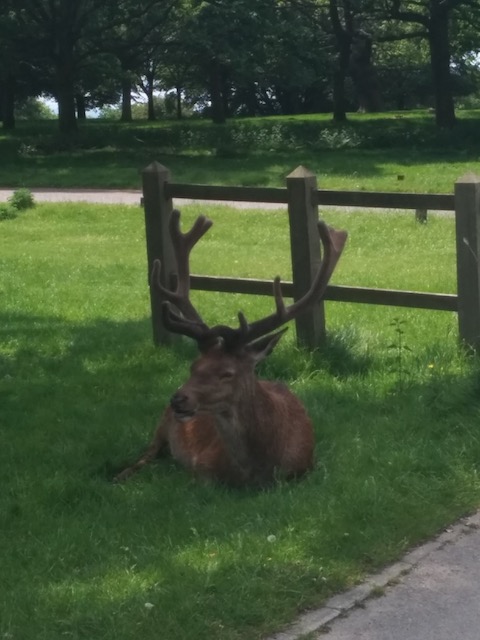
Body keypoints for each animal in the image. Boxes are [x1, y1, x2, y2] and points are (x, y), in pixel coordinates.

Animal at [115, 208, 348, 488]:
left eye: (227, 373)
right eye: (193, 366)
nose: (178, 399)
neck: (257, 471)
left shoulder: (306, 467)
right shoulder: (201, 466)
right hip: (161, 424)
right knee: (147, 453)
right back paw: (120, 474)